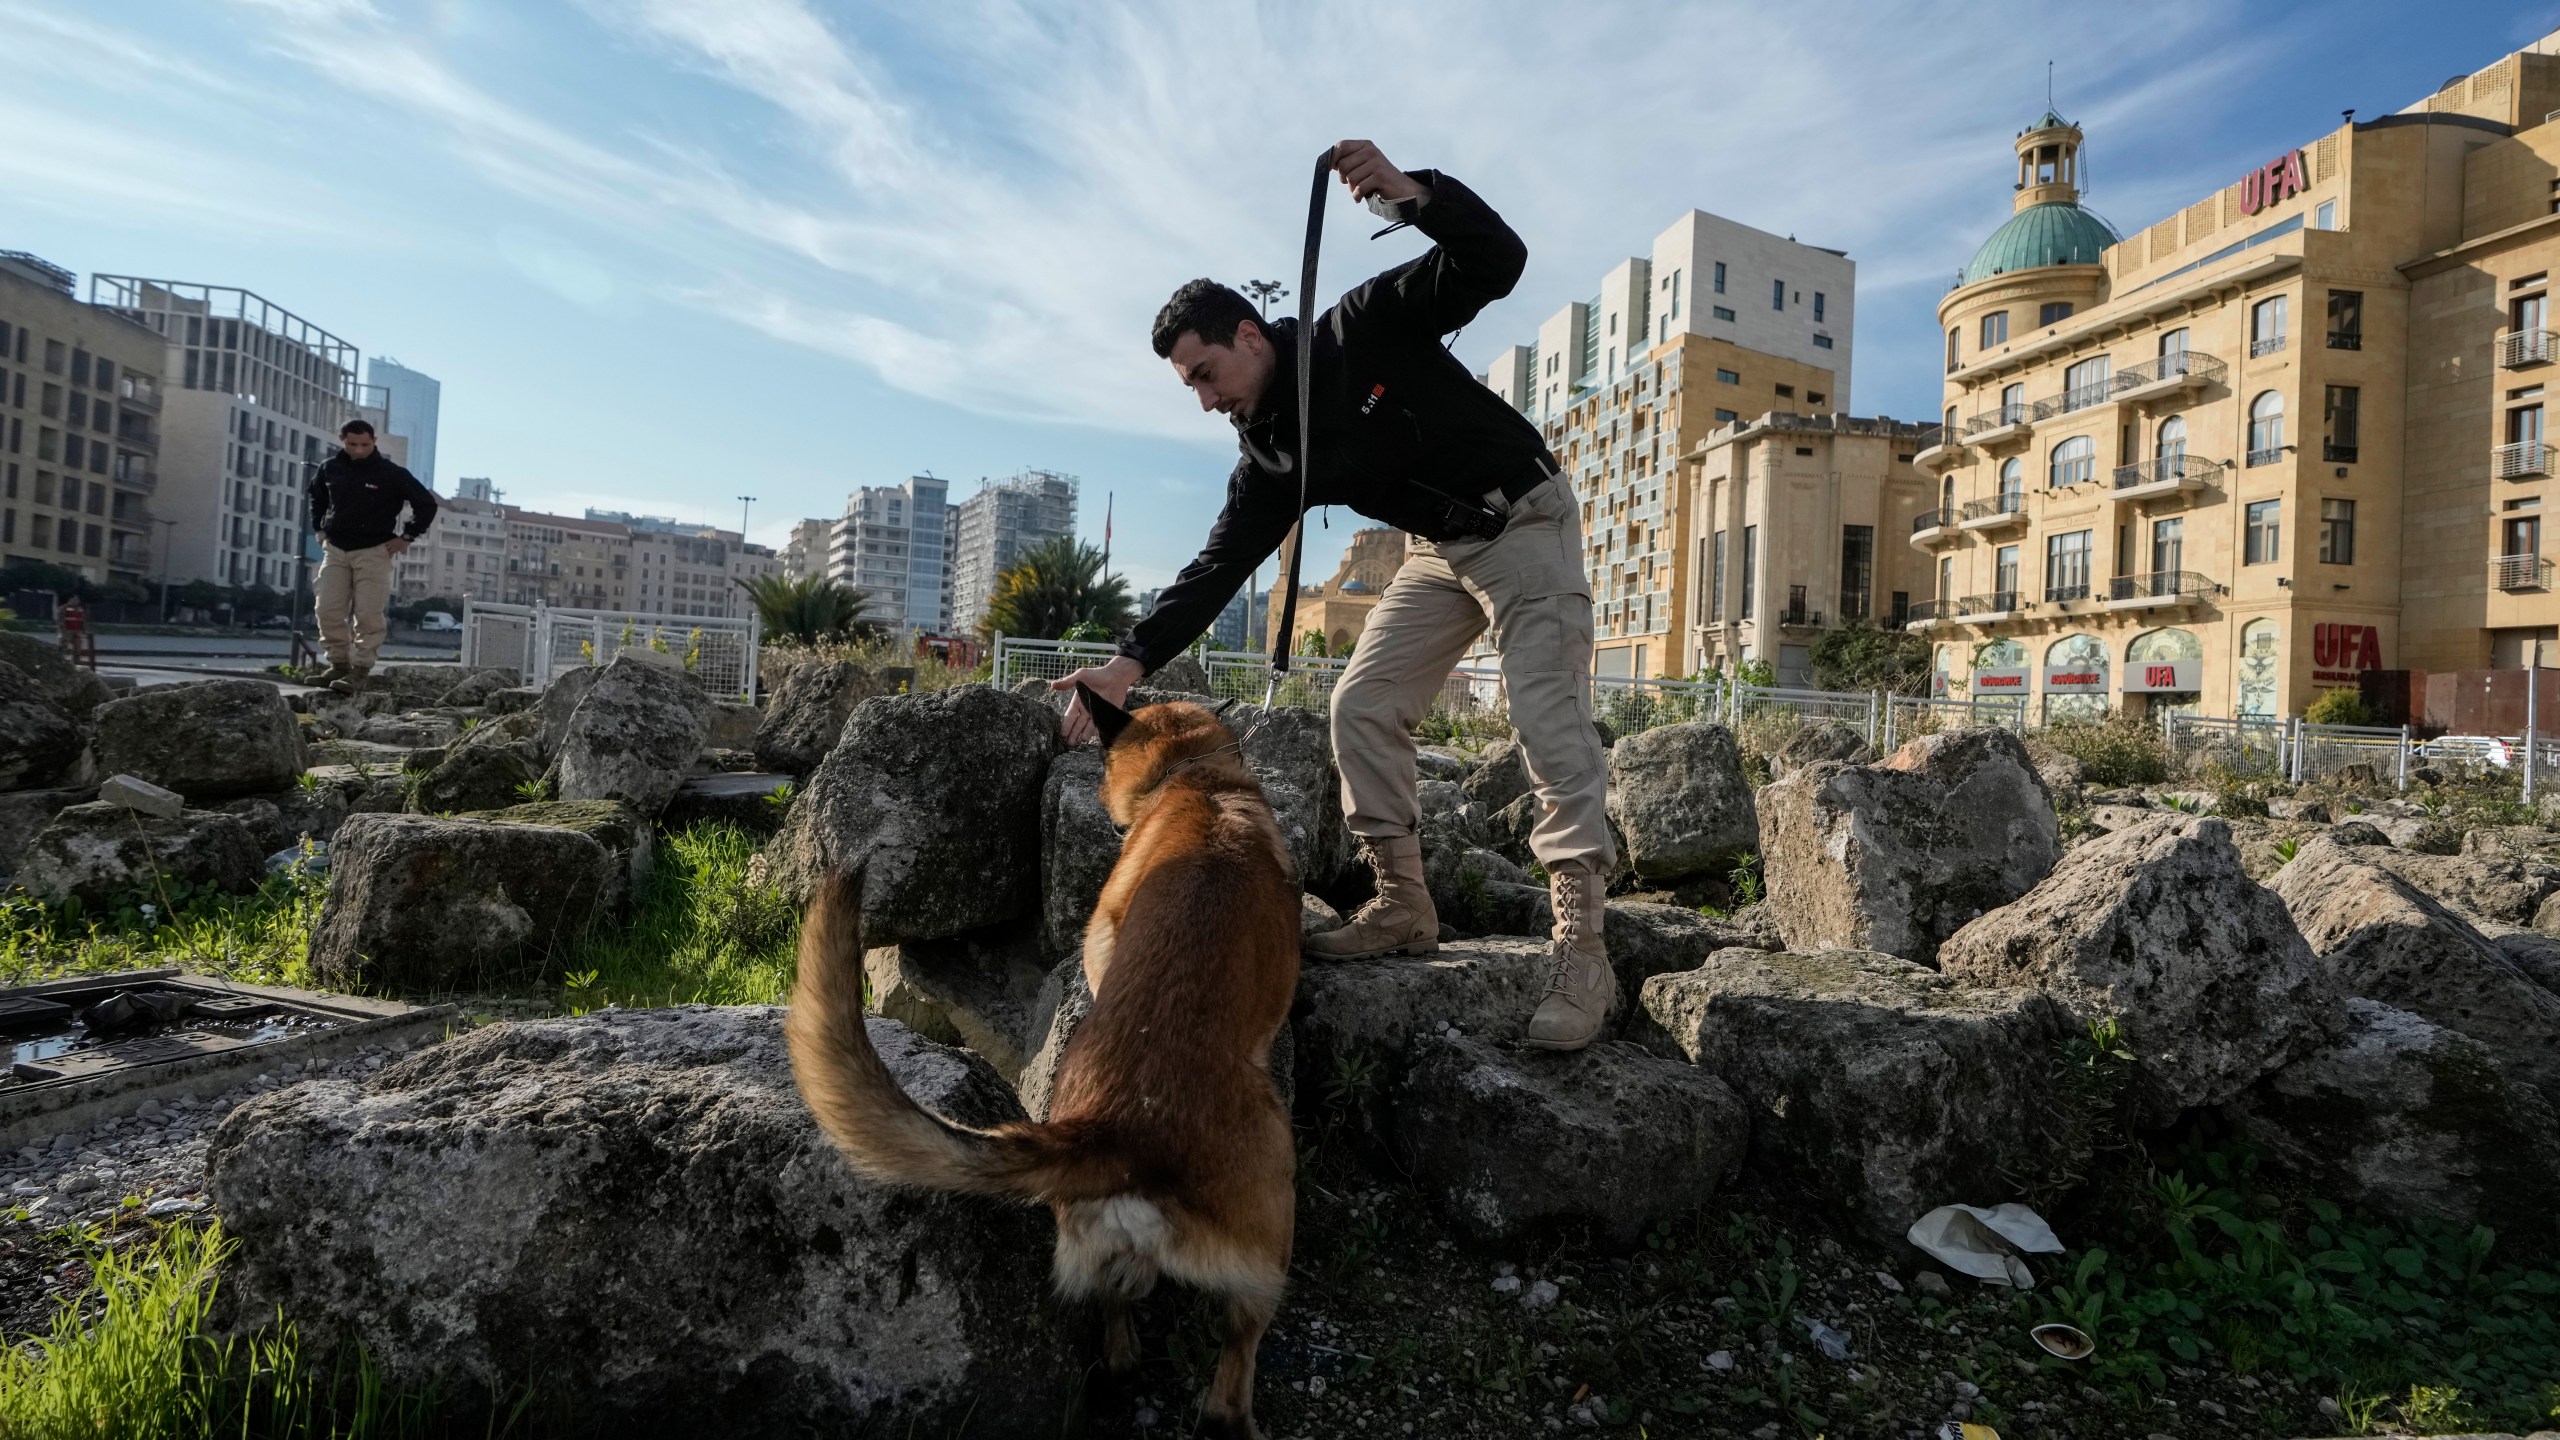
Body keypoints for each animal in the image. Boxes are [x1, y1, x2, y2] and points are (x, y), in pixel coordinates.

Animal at [783, 691, 1300, 1424]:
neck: (1195, 782)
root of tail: (1116, 1131)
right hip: (1271, 1230)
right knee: (1231, 1379)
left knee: (1116, 1318)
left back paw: (1121, 1361)